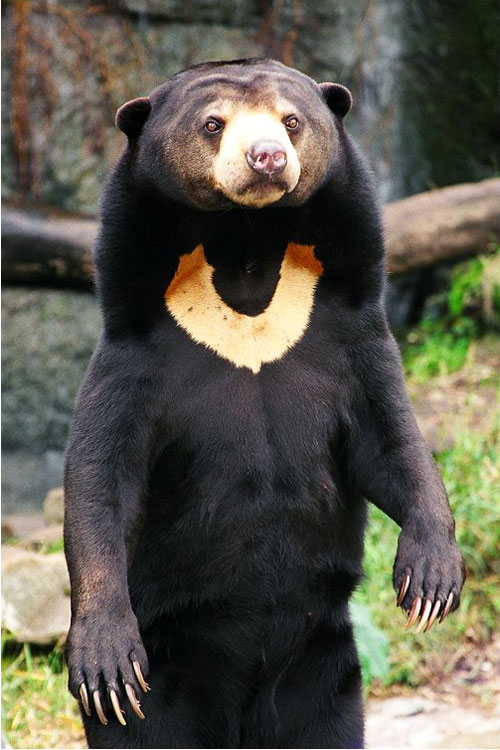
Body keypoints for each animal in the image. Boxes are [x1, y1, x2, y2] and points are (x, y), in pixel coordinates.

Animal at [63, 58, 465, 749]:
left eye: (292, 120)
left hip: (322, 665)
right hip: (172, 667)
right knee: (144, 727)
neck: (246, 248)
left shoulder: (347, 333)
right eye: (213, 123)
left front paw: (431, 583)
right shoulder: (134, 353)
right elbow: (100, 477)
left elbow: (390, 442)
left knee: (324, 724)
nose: (269, 158)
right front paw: (105, 656)